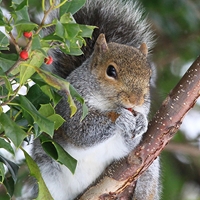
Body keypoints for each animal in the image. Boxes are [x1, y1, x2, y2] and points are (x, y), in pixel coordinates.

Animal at [21, 0, 160, 200]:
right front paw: (120, 118)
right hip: (47, 180)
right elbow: (81, 133)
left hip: (149, 174)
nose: (135, 100)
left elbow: (135, 146)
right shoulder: (70, 106)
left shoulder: (135, 151)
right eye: (111, 71)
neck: (107, 103)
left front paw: (142, 122)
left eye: (149, 77)